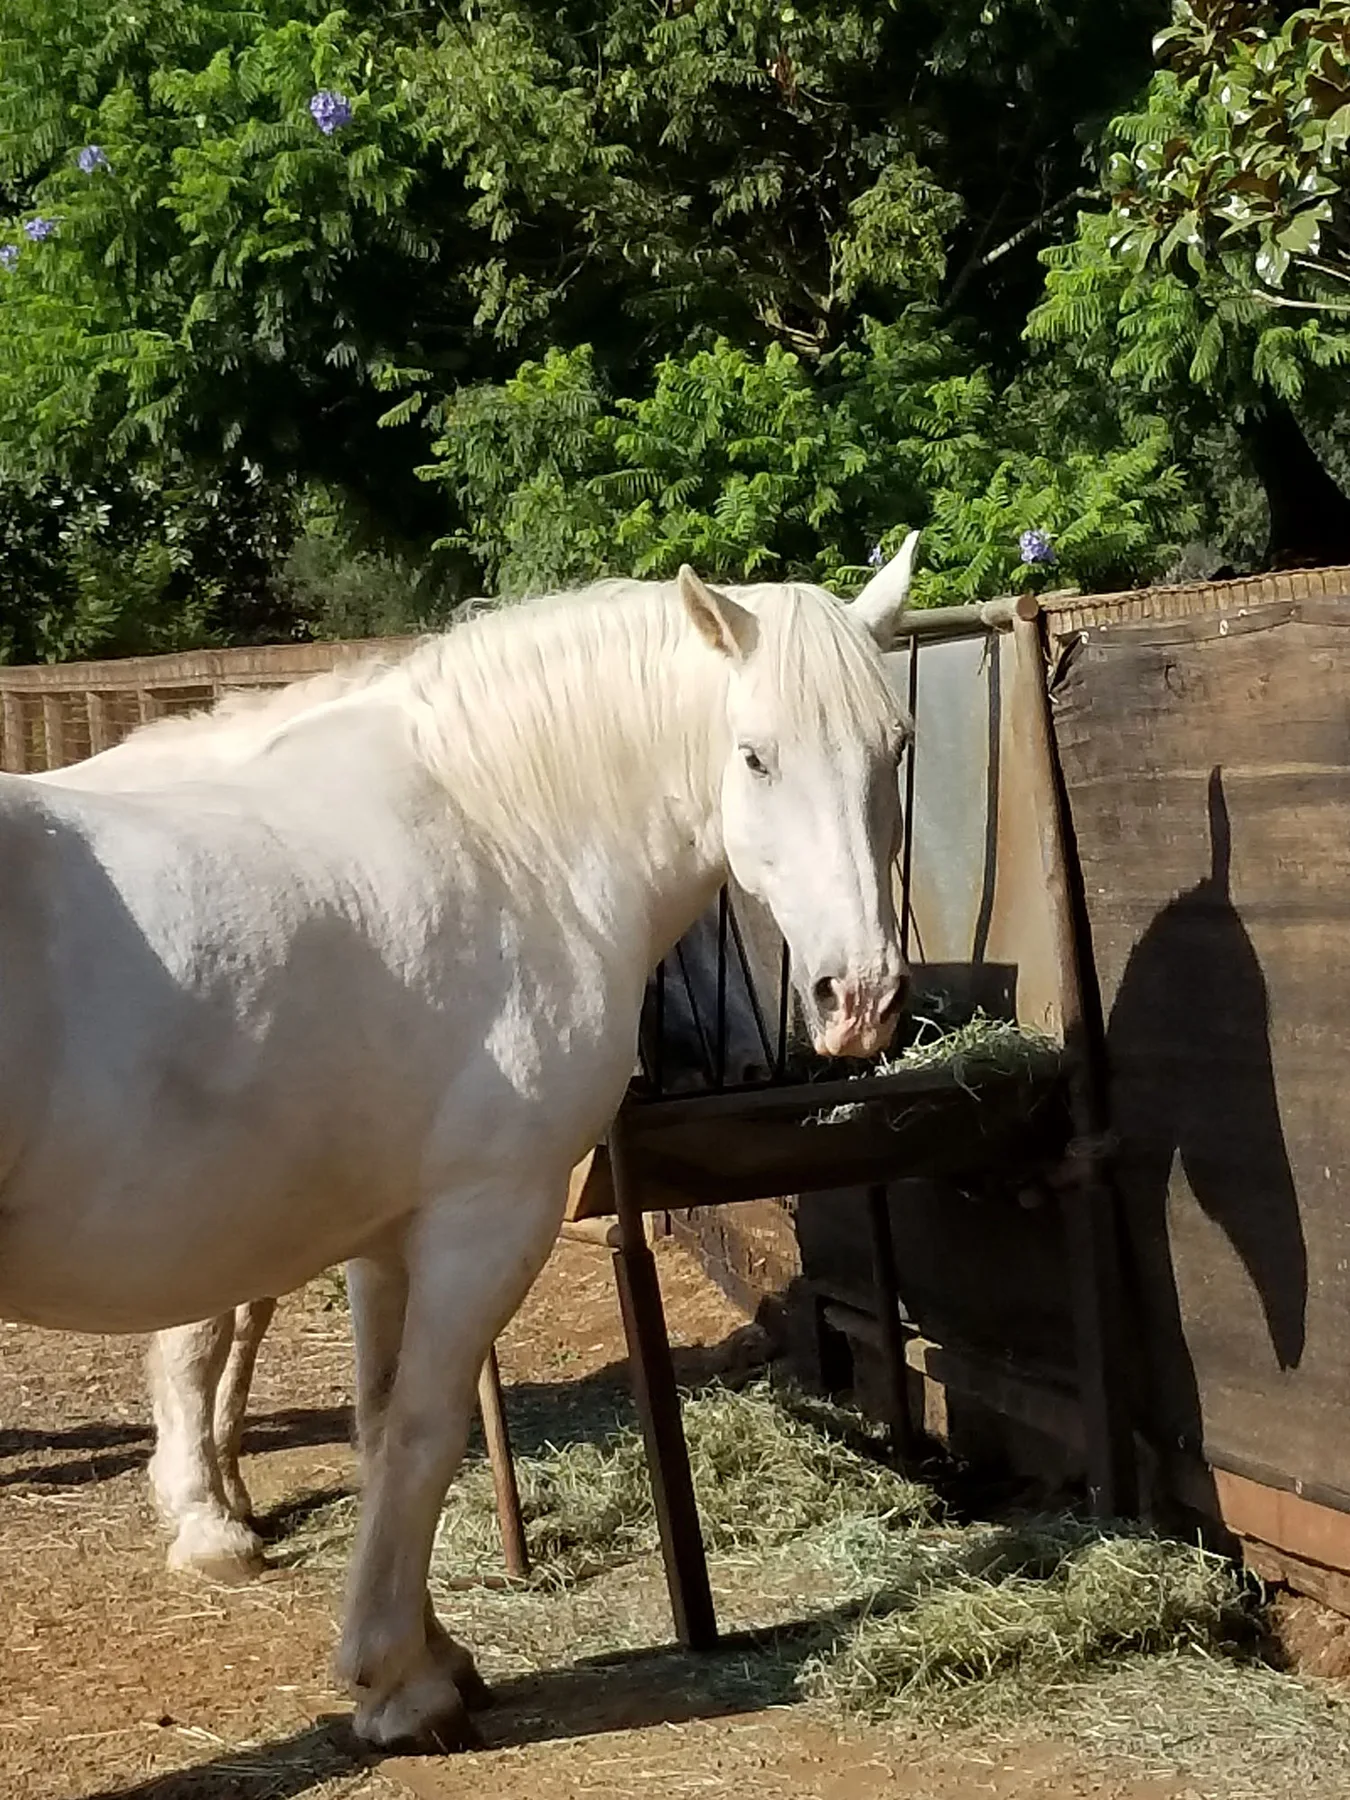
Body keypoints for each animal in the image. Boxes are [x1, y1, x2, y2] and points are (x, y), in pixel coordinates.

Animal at [2, 543, 917, 1750]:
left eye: (894, 746)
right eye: (754, 754)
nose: (859, 999)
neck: (507, 841)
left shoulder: (385, 1232)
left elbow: (383, 1426)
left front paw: (430, 1654)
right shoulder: (488, 1216)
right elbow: (431, 1430)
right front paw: (399, 1683)